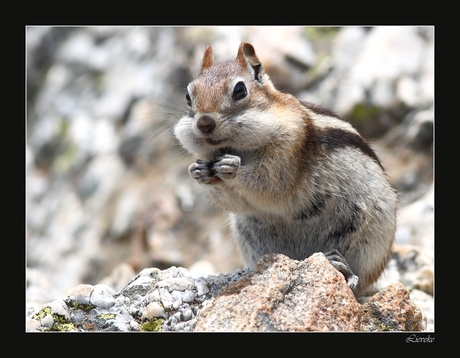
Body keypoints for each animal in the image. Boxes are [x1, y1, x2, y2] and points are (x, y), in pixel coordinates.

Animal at [174, 41, 398, 296]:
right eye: (188, 95)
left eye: (240, 90)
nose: (204, 123)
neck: (238, 148)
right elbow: (234, 200)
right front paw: (197, 171)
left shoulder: (288, 149)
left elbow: (268, 184)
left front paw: (232, 168)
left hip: (370, 244)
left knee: (359, 285)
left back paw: (343, 268)